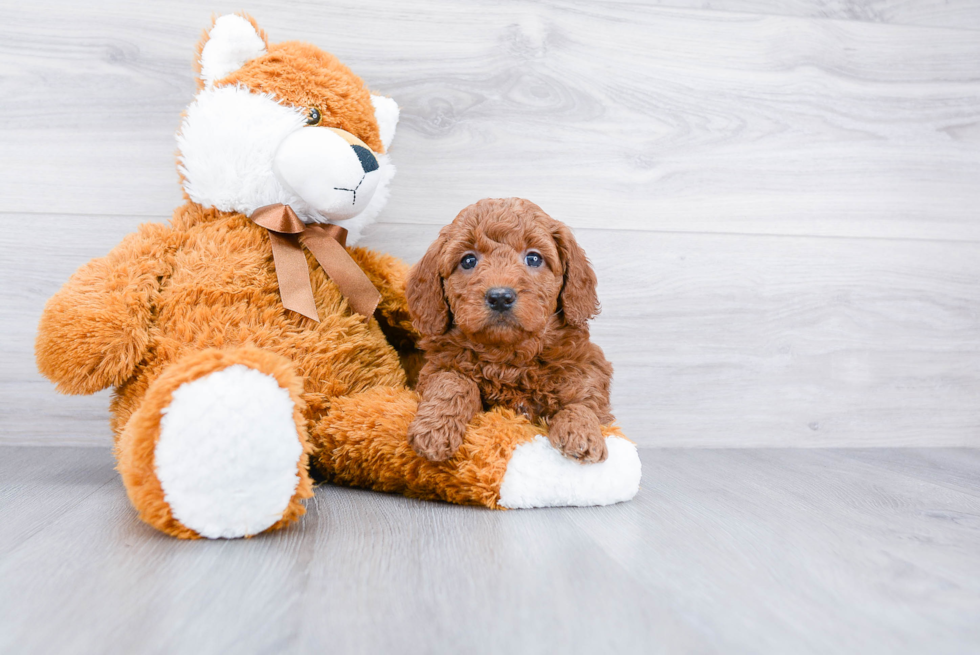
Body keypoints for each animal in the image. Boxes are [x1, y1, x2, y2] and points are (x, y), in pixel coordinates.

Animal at [406, 197, 612, 464]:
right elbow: (452, 381)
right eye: (468, 261)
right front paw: (434, 429)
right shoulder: (438, 365)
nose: (500, 297)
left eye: (533, 258)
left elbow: (584, 400)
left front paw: (582, 432)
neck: (508, 358)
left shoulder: (586, 365)